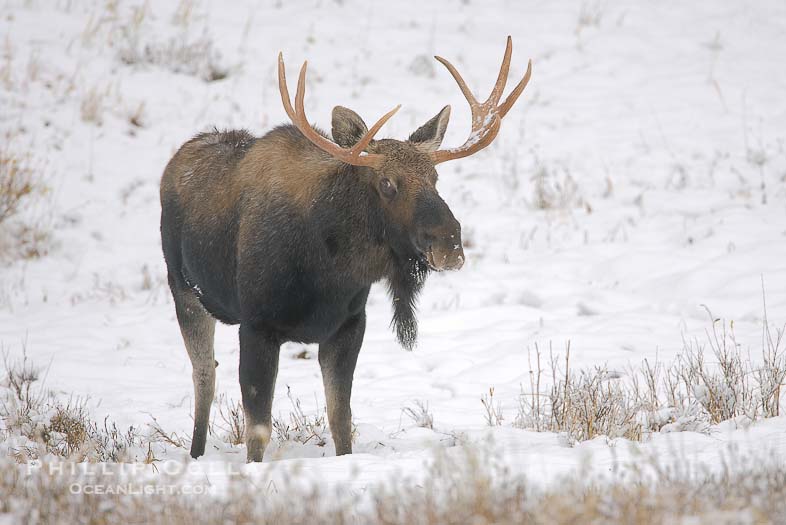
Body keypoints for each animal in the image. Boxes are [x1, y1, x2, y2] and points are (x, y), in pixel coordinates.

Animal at [160, 37, 531, 461]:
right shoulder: (257, 325)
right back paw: (195, 453)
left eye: (435, 177)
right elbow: (257, 431)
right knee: (204, 376)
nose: (449, 243)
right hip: (184, 291)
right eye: (386, 182)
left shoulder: (349, 324)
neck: (327, 271)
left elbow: (341, 420)